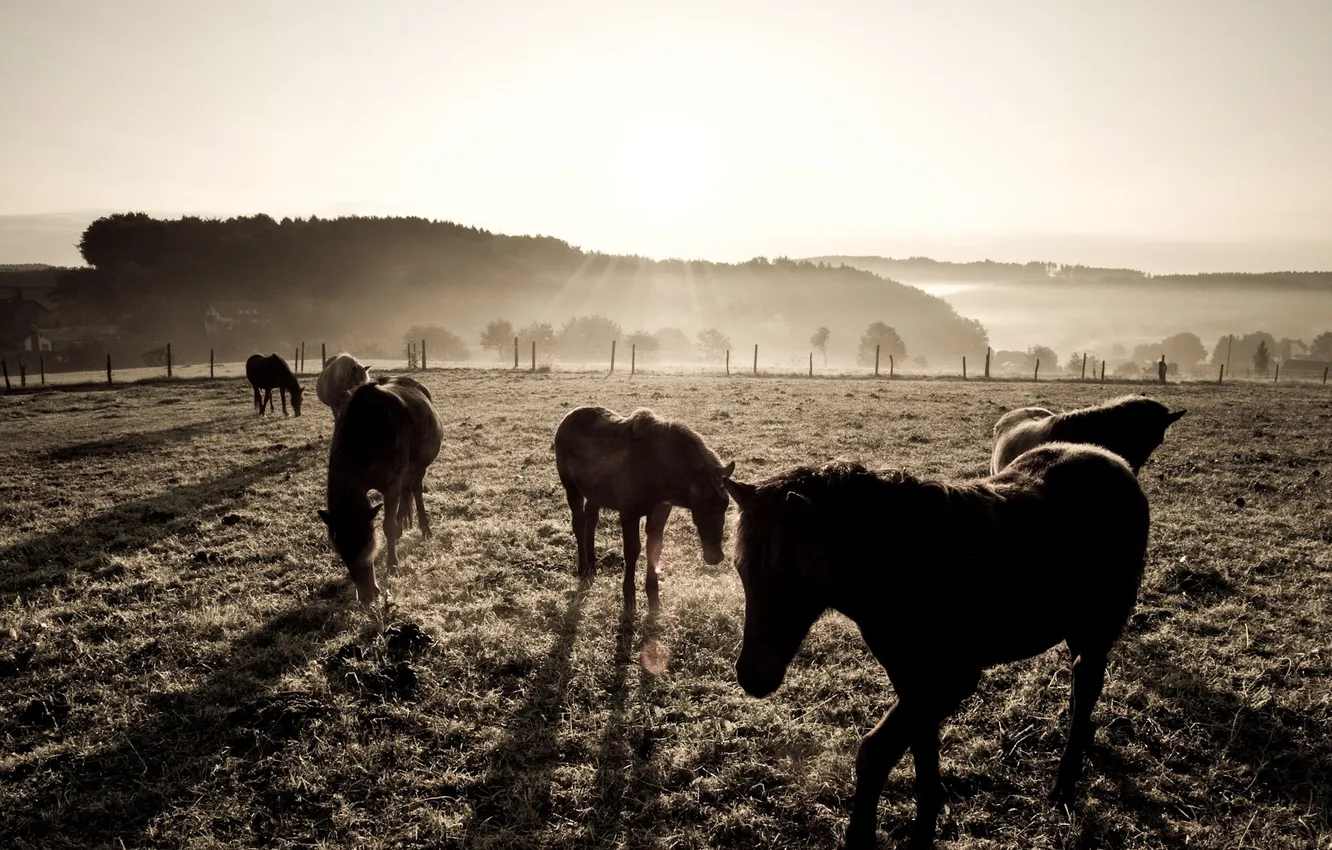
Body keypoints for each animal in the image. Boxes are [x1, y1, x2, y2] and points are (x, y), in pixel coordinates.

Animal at [318, 376, 443, 602]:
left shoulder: (390, 483)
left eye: (369, 543)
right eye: (340, 550)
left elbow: (388, 526)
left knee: (416, 489)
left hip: (419, 466)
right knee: (407, 491)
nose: (367, 594)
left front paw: (393, 564)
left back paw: (424, 528)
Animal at [554, 406, 736, 613]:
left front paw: (654, 598)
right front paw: (629, 598)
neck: (659, 472)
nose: (714, 556)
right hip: (571, 487)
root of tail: (566, 419)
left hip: (594, 493)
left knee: (591, 520)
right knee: (579, 523)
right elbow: (632, 550)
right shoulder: (628, 512)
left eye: (726, 503)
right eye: (698, 503)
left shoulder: (660, 512)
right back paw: (583, 568)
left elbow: (654, 548)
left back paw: (592, 563)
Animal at [723, 443, 1149, 849]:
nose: (752, 676)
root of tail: (1116, 464)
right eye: (742, 570)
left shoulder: (950, 682)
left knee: (1087, 680)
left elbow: (875, 752)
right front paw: (926, 820)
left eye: (796, 579)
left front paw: (862, 836)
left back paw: (1063, 784)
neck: (922, 567)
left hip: (1095, 629)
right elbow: (921, 748)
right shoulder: (910, 679)